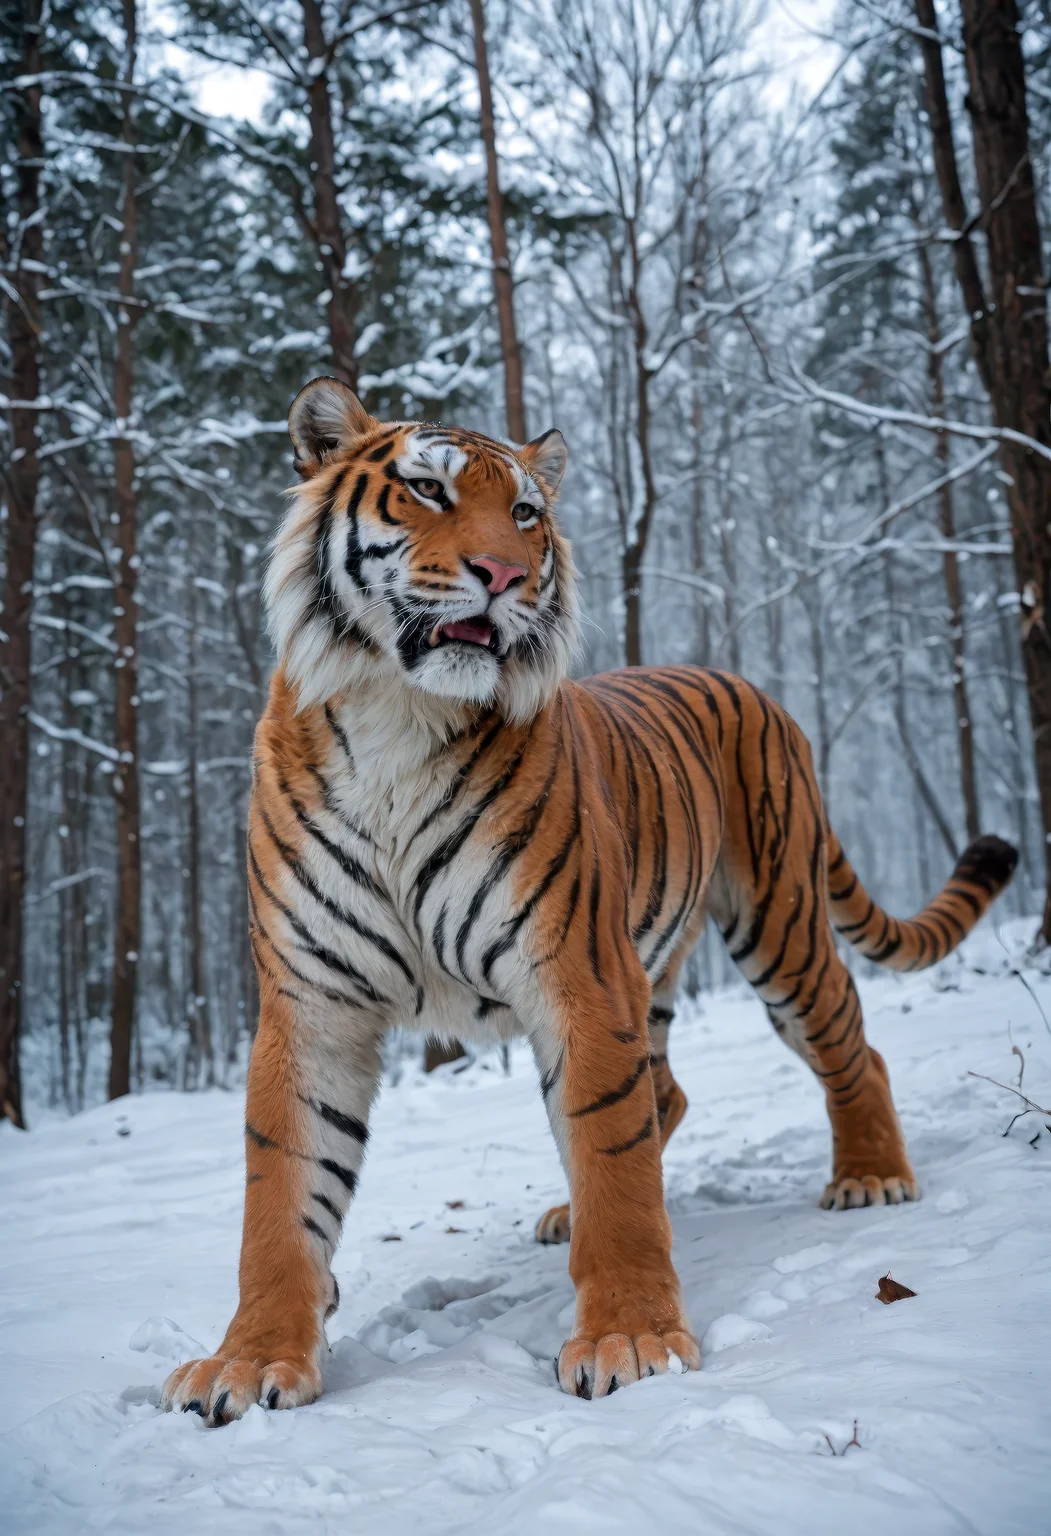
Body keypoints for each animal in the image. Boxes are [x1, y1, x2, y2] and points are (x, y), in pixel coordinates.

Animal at [161, 376, 1017, 1422]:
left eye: (527, 513)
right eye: (427, 490)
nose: (502, 573)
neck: (397, 712)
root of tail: (742, 680)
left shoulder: (579, 975)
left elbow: (618, 1165)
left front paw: (630, 1341)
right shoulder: (312, 1004)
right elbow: (282, 1198)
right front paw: (248, 1362)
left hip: (777, 927)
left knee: (849, 1048)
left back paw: (870, 1178)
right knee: (666, 1090)